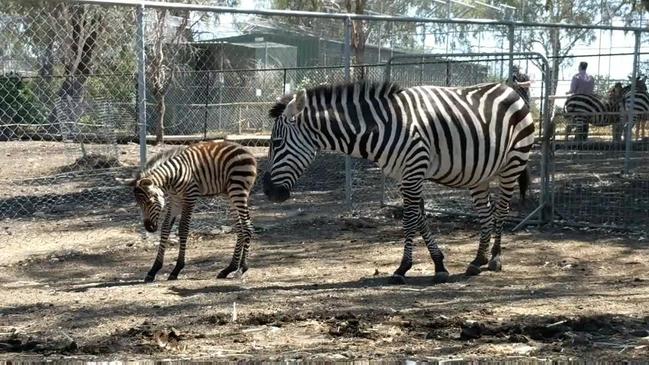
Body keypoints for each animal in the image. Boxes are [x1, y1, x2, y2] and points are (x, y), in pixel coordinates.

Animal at [121, 139, 256, 282]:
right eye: (139, 205)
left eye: (149, 202)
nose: (149, 228)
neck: (172, 177)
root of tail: (246, 151)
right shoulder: (175, 200)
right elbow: (165, 228)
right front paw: (153, 270)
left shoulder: (190, 197)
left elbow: (183, 229)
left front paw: (176, 269)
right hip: (229, 194)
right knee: (240, 229)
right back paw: (229, 268)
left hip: (237, 190)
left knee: (247, 226)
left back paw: (242, 268)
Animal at [260, 82, 536, 282]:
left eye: (276, 143)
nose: (268, 192)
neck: (381, 127)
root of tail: (510, 88)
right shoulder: (406, 176)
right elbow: (419, 219)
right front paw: (439, 265)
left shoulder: (414, 170)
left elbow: (409, 220)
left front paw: (403, 268)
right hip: (480, 173)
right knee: (485, 213)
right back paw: (478, 261)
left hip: (513, 163)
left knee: (502, 210)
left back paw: (495, 259)